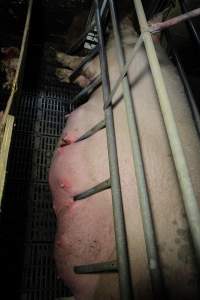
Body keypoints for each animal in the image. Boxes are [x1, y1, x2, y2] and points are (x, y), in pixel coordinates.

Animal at [48, 12, 200, 300]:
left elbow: (84, 67)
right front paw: (61, 72)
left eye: (131, 27)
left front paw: (58, 60)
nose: (126, 15)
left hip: (111, 283)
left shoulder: (102, 67)